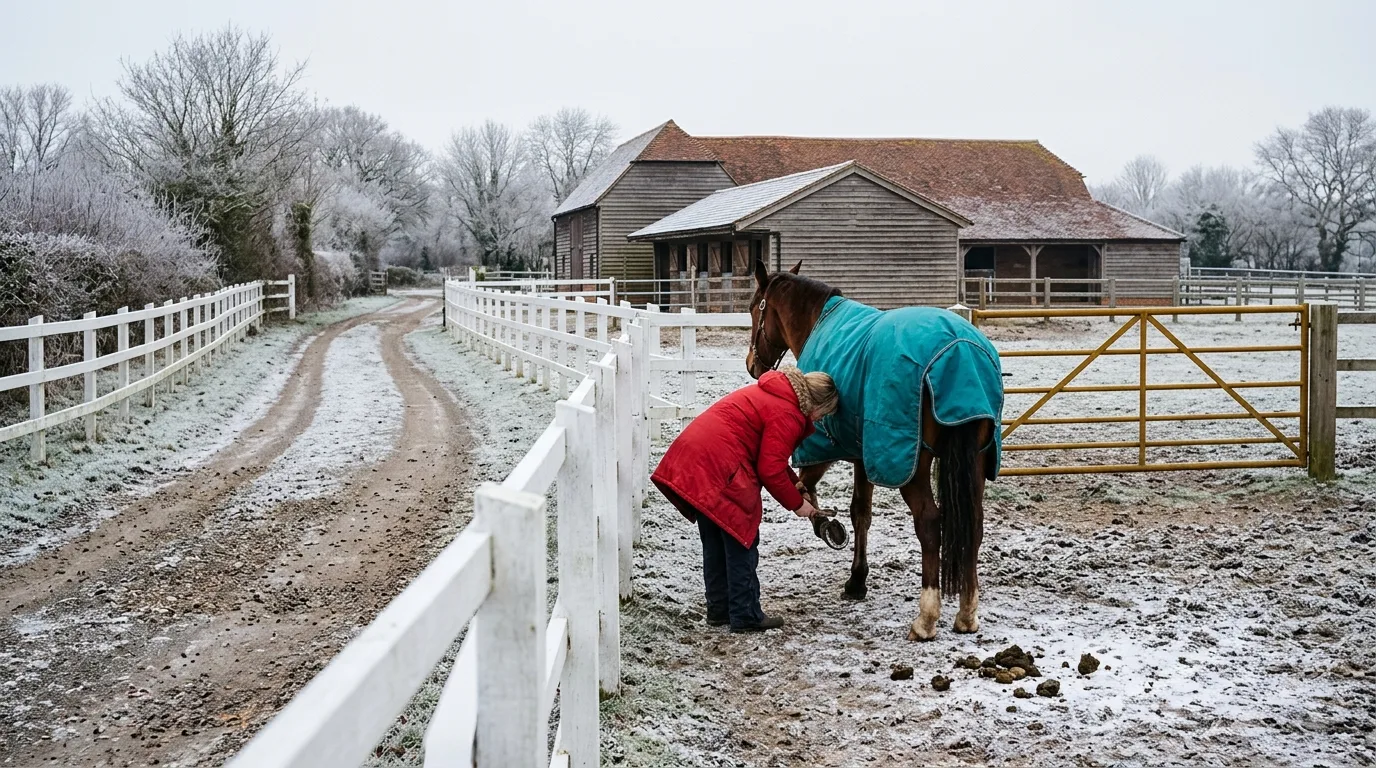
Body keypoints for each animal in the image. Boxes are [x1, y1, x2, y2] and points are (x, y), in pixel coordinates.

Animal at [744, 260, 1003, 641]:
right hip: (975, 463)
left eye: (753, 309)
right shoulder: (864, 454)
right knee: (974, 524)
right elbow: (861, 513)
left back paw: (926, 618)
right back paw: (967, 613)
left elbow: (804, 488)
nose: (753, 364)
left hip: (912, 467)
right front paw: (857, 577)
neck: (820, 321)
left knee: (930, 524)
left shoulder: (826, 443)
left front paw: (827, 529)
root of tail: (961, 351)